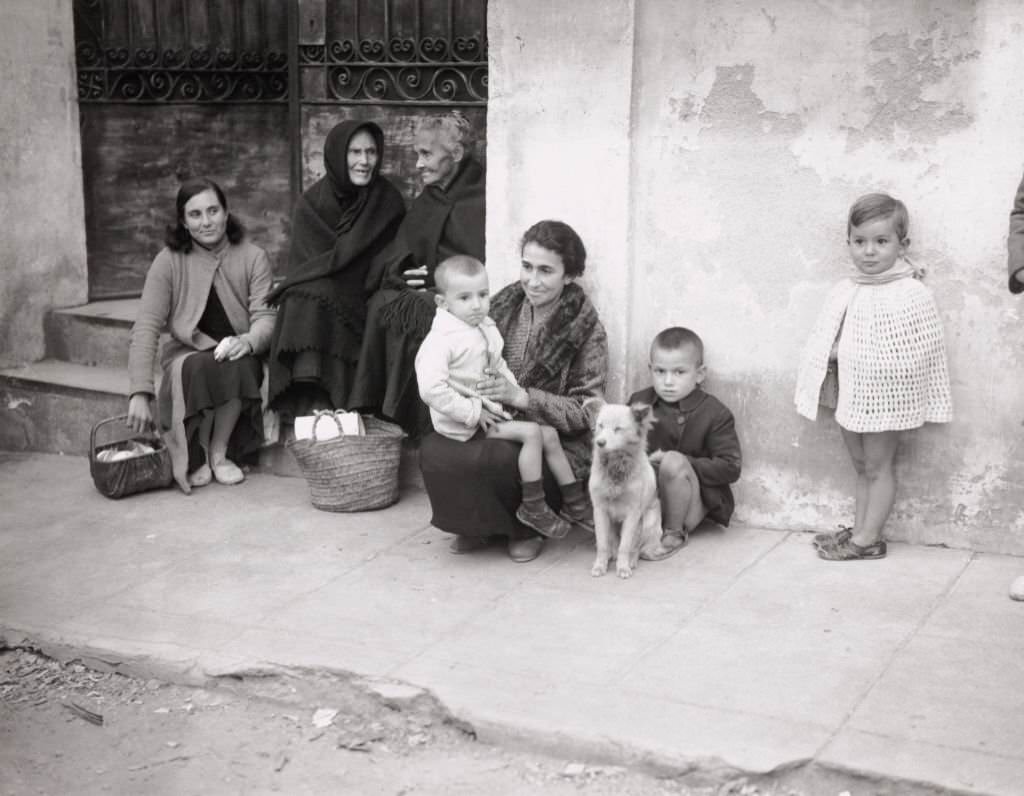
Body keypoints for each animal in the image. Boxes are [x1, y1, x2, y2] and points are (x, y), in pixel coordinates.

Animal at [589, 401, 675, 573]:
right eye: (600, 425)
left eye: (618, 429)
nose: (599, 443)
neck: (615, 469)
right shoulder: (599, 510)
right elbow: (602, 544)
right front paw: (600, 566)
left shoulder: (633, 513)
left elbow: (626, 545)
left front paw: (623, 567)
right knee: (613, 546)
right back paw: (611, 556)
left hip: (648, 522)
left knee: (637, 548)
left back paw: (632, 561)